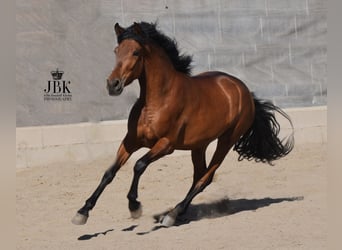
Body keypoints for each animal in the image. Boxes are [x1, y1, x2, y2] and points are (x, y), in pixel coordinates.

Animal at [71, 22, 294, 228]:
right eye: (116, 51)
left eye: (135, 52)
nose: (113, 84)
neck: (157, 99)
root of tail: (245, 91)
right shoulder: (131, 141)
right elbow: (110, 172)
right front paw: (82, 212)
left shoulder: (166, 145)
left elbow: (139, 165)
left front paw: (134, 206)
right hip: (199, 145)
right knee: (199, 175)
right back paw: (178, 212)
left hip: (226, 141)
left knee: (206, 177)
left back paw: (171, 215)